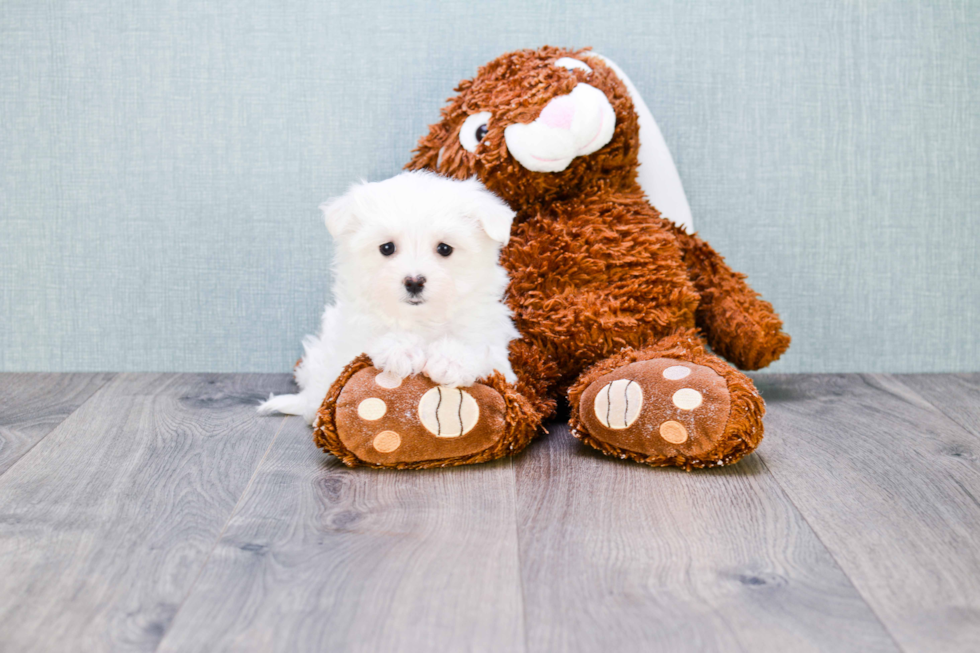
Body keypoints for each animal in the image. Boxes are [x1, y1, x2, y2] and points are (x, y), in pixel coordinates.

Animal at [258, 169, 520, 422]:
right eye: (387, 248)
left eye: (445, 249)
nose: (414, 282)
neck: (420, 319)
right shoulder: (350, 339)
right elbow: (370, 339)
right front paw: (402, 349)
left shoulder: (494, 348)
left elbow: (480, 348)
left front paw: (451, 359)